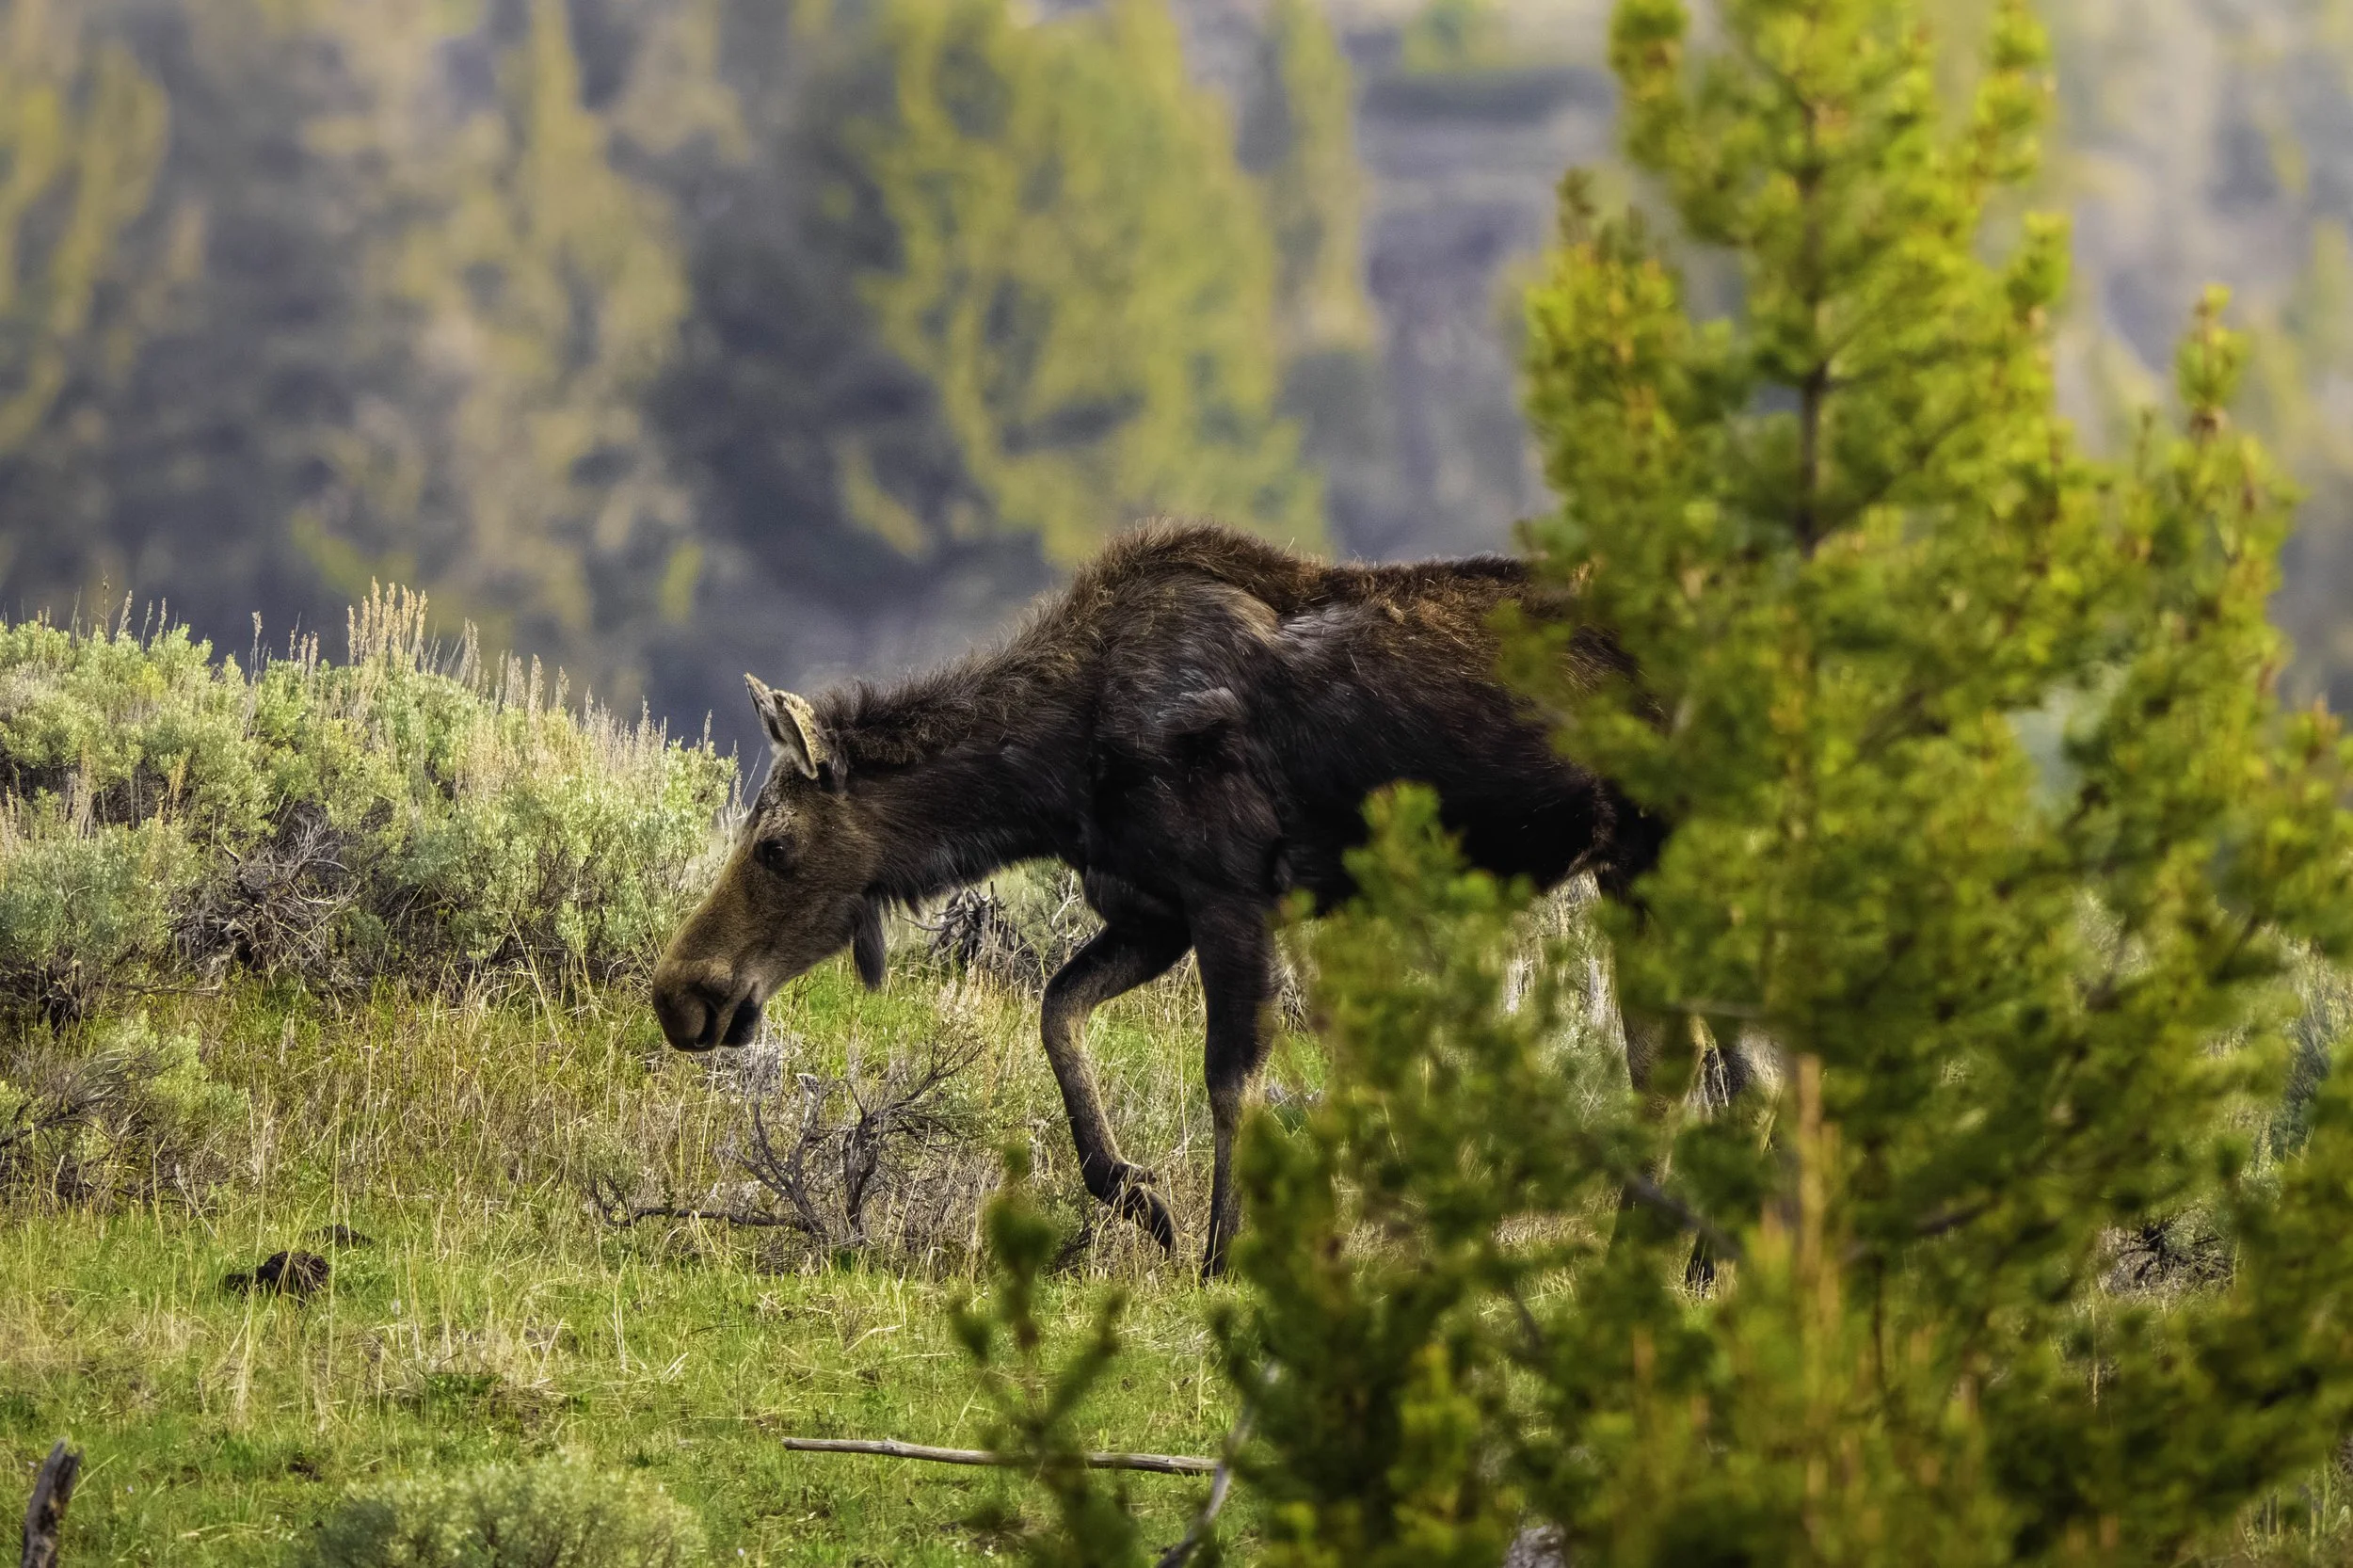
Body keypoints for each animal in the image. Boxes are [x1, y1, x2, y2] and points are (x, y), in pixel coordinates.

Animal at [651, 522, 1665, 1278]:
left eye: (775, 846)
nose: (681, 993)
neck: (1057, 781)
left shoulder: (1232, 894)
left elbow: (1231, 1077)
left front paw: (1225, 1254)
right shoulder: (1153, 911)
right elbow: (1057, 1010)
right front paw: (1136, 1196)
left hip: (1651, 846)